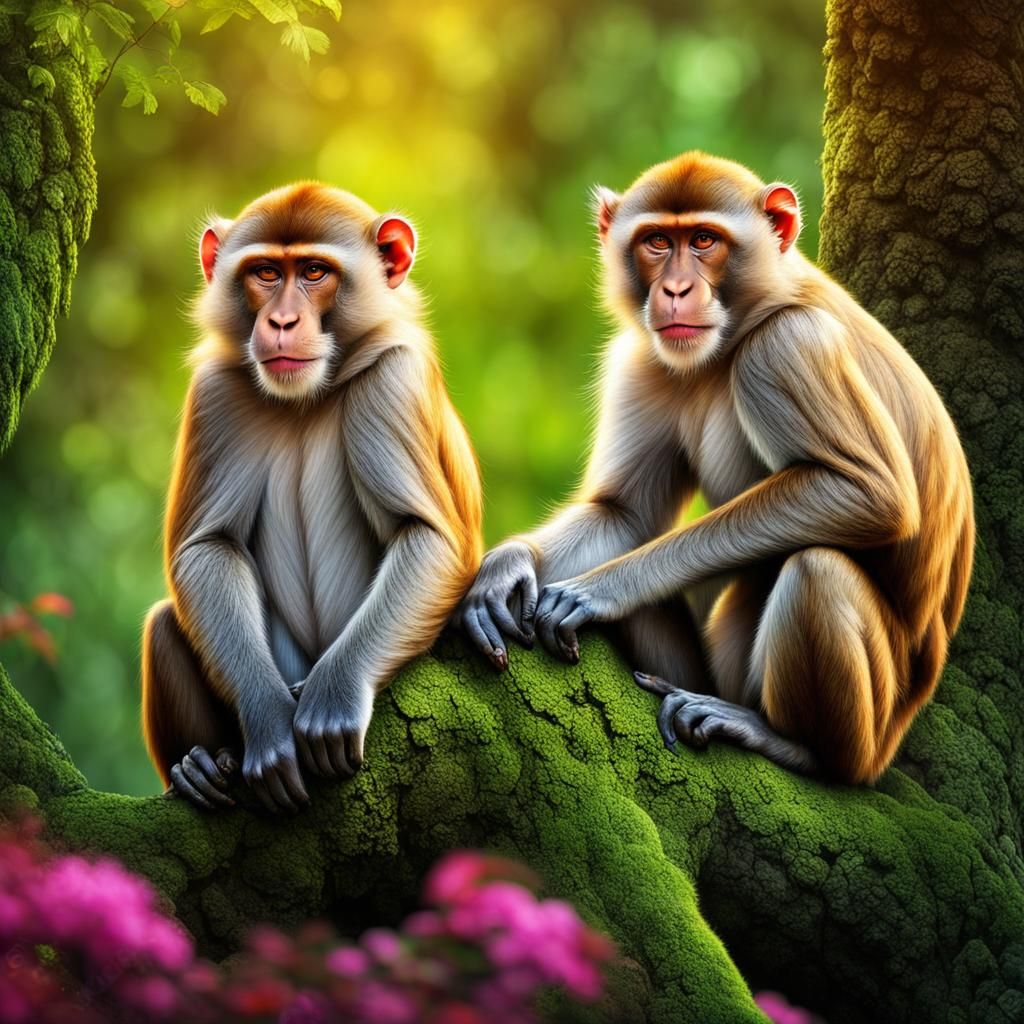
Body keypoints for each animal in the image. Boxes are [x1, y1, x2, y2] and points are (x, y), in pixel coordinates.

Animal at [142, 183, 482, 813]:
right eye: (267, 273)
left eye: (316, 272)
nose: (281, 320)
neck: (308, 397)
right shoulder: (215, 393)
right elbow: (206, 548)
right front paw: (268, 719)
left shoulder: (393, 379)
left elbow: (427, 536)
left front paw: (335, 694)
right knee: (163, 624)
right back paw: (198, 765)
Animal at [459, 151, 973, 785]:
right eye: (657, 241)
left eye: (704, 240)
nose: (676, 289)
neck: (740, 329)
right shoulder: (643, 360)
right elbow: (625, 515)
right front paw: (508, 564)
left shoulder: (785, 346)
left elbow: (868, 491)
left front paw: (599, 591)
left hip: (873, 730)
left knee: (816, 573)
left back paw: (795, 747)